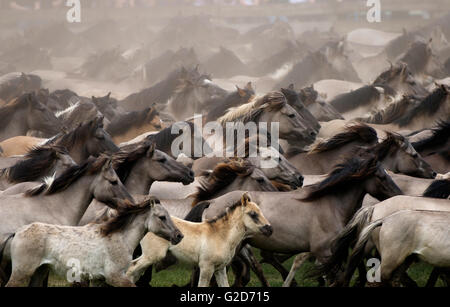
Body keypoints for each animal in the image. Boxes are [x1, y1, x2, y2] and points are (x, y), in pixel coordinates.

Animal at [4, 197, 184, 288]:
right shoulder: (116, 277)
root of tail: (17, 232)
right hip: (21, 273)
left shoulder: (99, 279)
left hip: (39, 271)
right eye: (162, 217)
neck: (120, 238)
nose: (179, 236)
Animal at [127, 194, 274, 288]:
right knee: (130, 269)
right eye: (253, 214)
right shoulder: (206, 267)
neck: (221, 236)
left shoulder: (220, 269)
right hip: (151, 256)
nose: (270, 229)